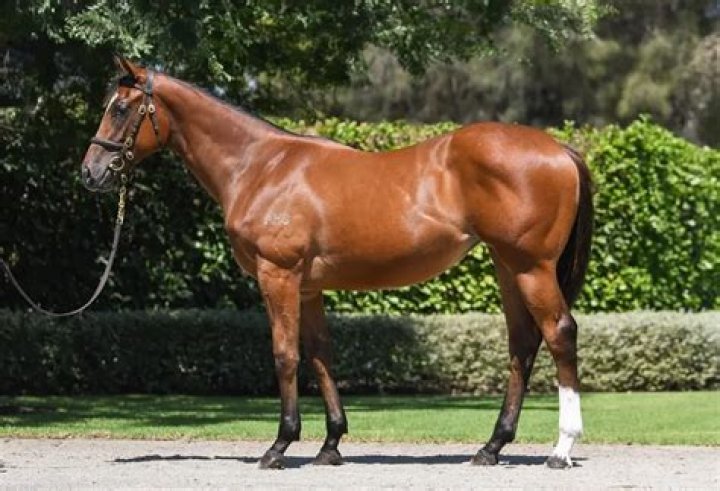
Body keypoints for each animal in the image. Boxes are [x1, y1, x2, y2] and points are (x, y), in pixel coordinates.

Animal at [83, 56, 593, 470]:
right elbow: (320, 355)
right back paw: (491, 447)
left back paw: (561, 449)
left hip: (530, 267)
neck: (260, 166)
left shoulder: (279, 276)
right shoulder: (308, 287)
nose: (90, 172)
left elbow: (285, 355)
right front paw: (330, 445)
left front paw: (279, 446)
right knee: (522, 344)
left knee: (559, 334)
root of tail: (560, 150)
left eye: (121, 108)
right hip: (508, 267)